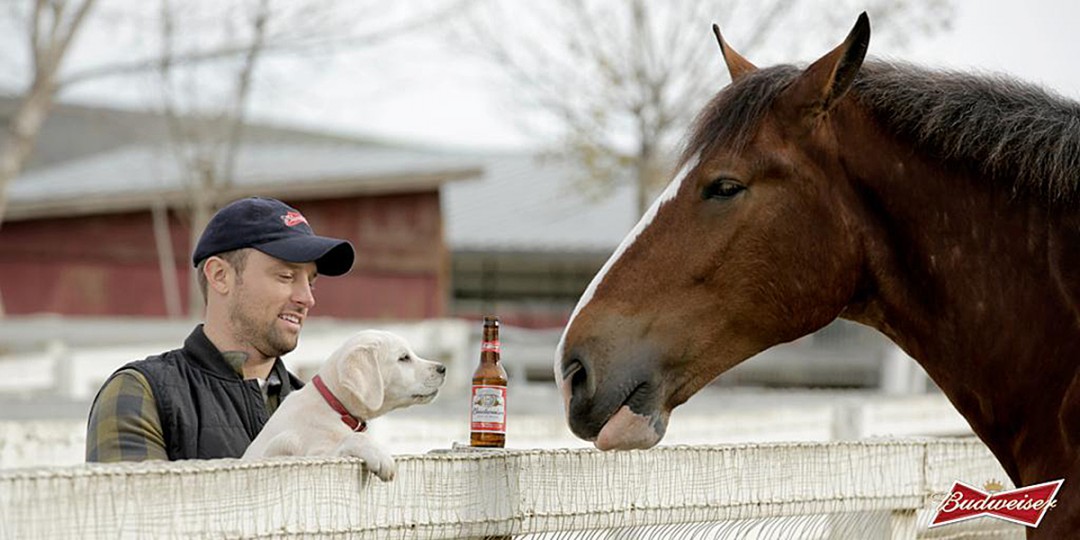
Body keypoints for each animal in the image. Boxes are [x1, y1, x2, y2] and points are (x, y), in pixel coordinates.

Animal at [243, 328, 444, 481]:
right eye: (404, 358)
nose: (443, 368)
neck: (334, 406)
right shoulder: (309, 454)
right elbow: (353, 439)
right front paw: (380, 455)